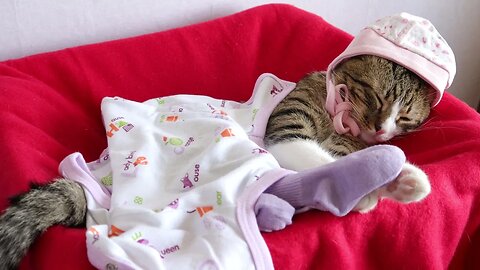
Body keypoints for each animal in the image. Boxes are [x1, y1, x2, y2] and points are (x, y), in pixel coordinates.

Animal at [0, 54, 434, 268]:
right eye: (376, 97)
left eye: (406, 119)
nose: (381, 131)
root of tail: (96, 187)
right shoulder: (286, 132)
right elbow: (309, 154)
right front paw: (379, 172)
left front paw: (388, 169)